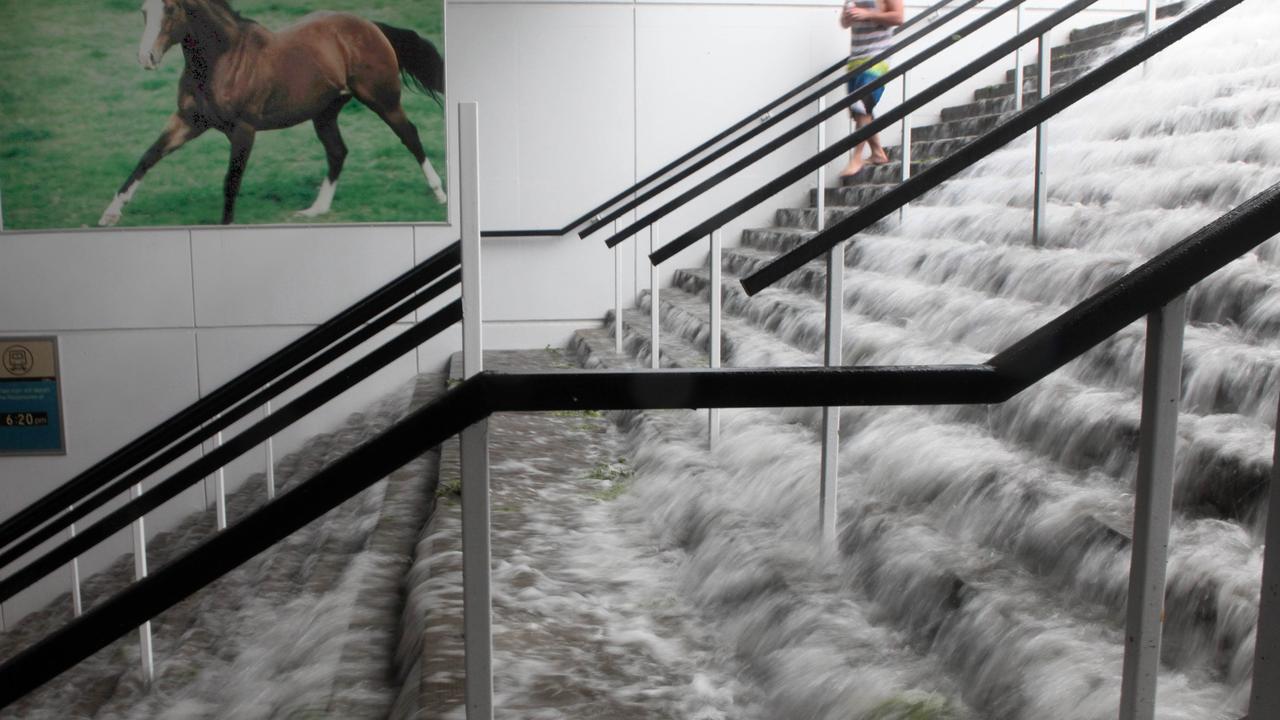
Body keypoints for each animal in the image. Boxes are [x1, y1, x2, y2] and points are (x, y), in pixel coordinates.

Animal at [98, 0, 445, 224]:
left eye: (170, 9)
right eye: (144, 11)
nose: (147, 57)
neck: (222, 59)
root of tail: (371, 26)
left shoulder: (243, 130)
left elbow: (231, 181)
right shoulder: (188, 121)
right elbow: (149, 156)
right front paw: (110, 213)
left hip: (382, 99)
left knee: (410, 135)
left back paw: (439, 194)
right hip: (325, 113)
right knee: (338, 152)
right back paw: (315, 210)